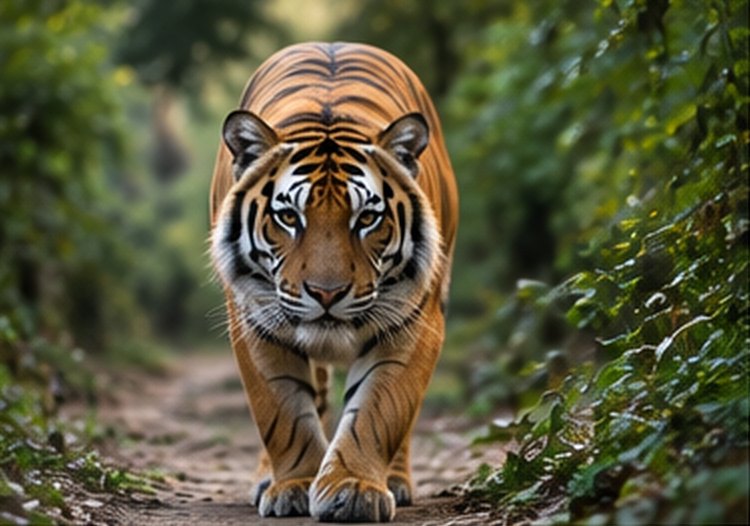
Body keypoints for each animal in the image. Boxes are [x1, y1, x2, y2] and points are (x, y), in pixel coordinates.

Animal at [209, 42, 458, 522]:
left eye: (367, 218)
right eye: (289, 217)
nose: (327, 293)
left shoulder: (413, 321)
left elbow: (379, 410)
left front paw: (354, 488)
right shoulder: (253, 320)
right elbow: (282, 411)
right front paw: (295, 485)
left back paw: (396, 481)